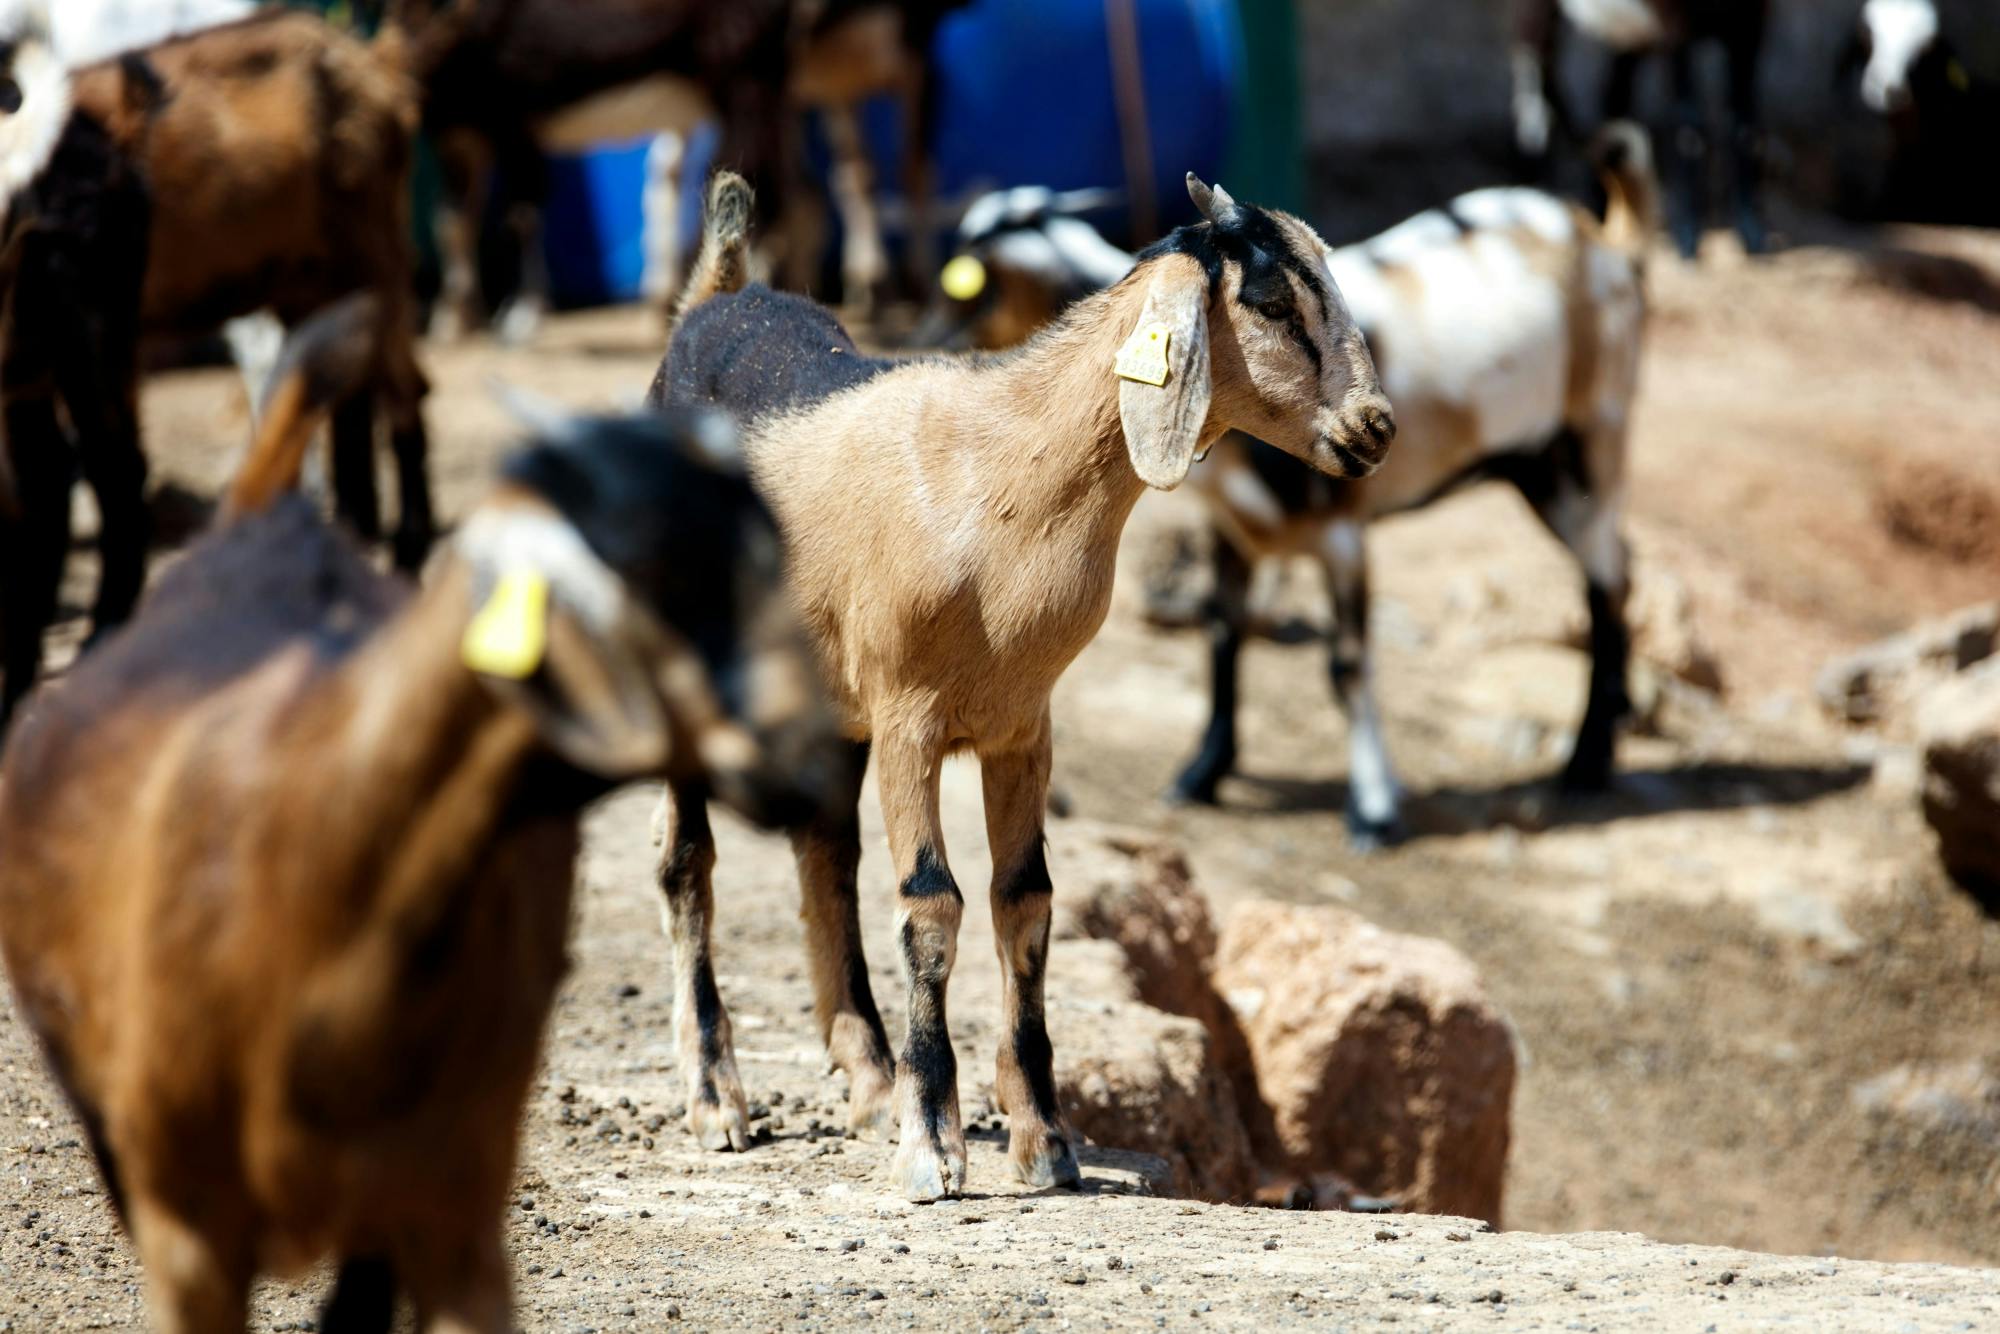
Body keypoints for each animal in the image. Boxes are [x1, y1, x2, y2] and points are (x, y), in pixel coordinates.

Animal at [648, 167, 1400, 1200]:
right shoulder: (911, 717)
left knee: (823, 852)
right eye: (1272, 300)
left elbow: (1027, 904)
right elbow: (931, 907)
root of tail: (715, 294)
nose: (1374, 428)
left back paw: (869, 1079)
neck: (996, 478)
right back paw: (718, 1098)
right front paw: (934, 1147)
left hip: (832, 695)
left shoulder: (1021, 723)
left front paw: (1045, 1141)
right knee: (689, 860)